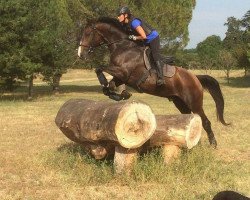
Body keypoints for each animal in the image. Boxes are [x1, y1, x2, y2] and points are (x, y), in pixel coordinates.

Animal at [77, 17, 229, 148]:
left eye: (88, 33)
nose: (80, 54)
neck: (122, 47)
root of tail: (194, 77)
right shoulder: (121, 77)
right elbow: (109, 86)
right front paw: (122, 94)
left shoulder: (123, 72)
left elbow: (99, 68)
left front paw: (114, 89)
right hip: (180, 103)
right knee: (190, 118)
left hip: (194, 103)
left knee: (206, 121)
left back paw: (213, 144)